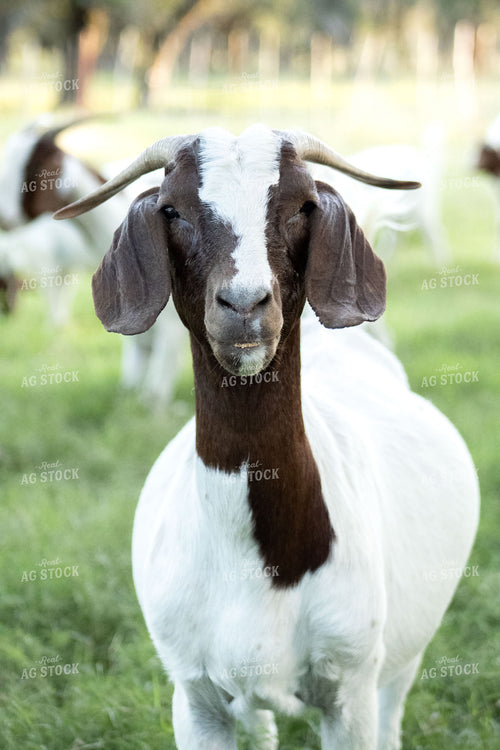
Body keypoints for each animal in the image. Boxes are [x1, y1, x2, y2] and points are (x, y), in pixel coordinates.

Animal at [55, 125, 479, 750]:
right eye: (171, 209)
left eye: (303, 205)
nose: (245, 306)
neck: (254, 565)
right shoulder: (195, 699)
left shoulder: (349, 690)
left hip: (400, 655)